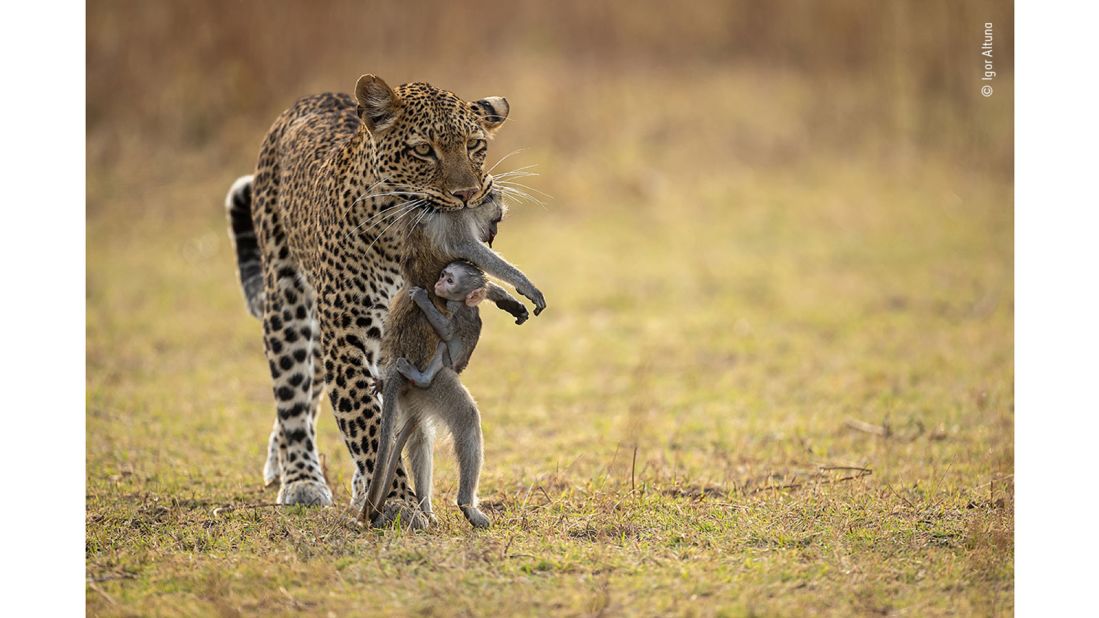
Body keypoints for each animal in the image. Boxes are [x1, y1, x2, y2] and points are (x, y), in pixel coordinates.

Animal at [224, 74, 545, 527]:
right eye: (424, 150)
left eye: (474, 145)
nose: (468, 194)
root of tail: (309, 99)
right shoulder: (346, 334)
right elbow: (367, 422)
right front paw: (396, 501)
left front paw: (381, 493)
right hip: (288, 300)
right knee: (293, 393)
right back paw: (301, 476)